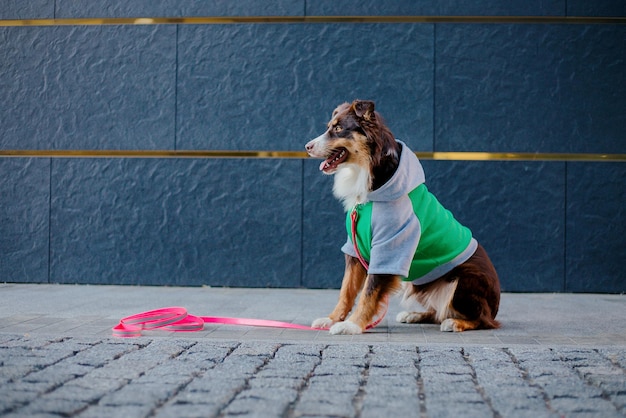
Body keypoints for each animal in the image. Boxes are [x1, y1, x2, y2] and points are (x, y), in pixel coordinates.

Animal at [302, 99, 498, 334]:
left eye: (339, 128)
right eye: (329, 127)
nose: (307, 146)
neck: (370, 177)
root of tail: (495, 304)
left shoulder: (391, 246)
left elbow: (369, 292)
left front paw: (352, 325)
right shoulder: (354, 248)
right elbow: (346, 290)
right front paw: (332, 319)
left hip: (464, 280)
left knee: (482, 319)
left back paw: (455, 322)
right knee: (438, 312)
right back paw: (415, 315)